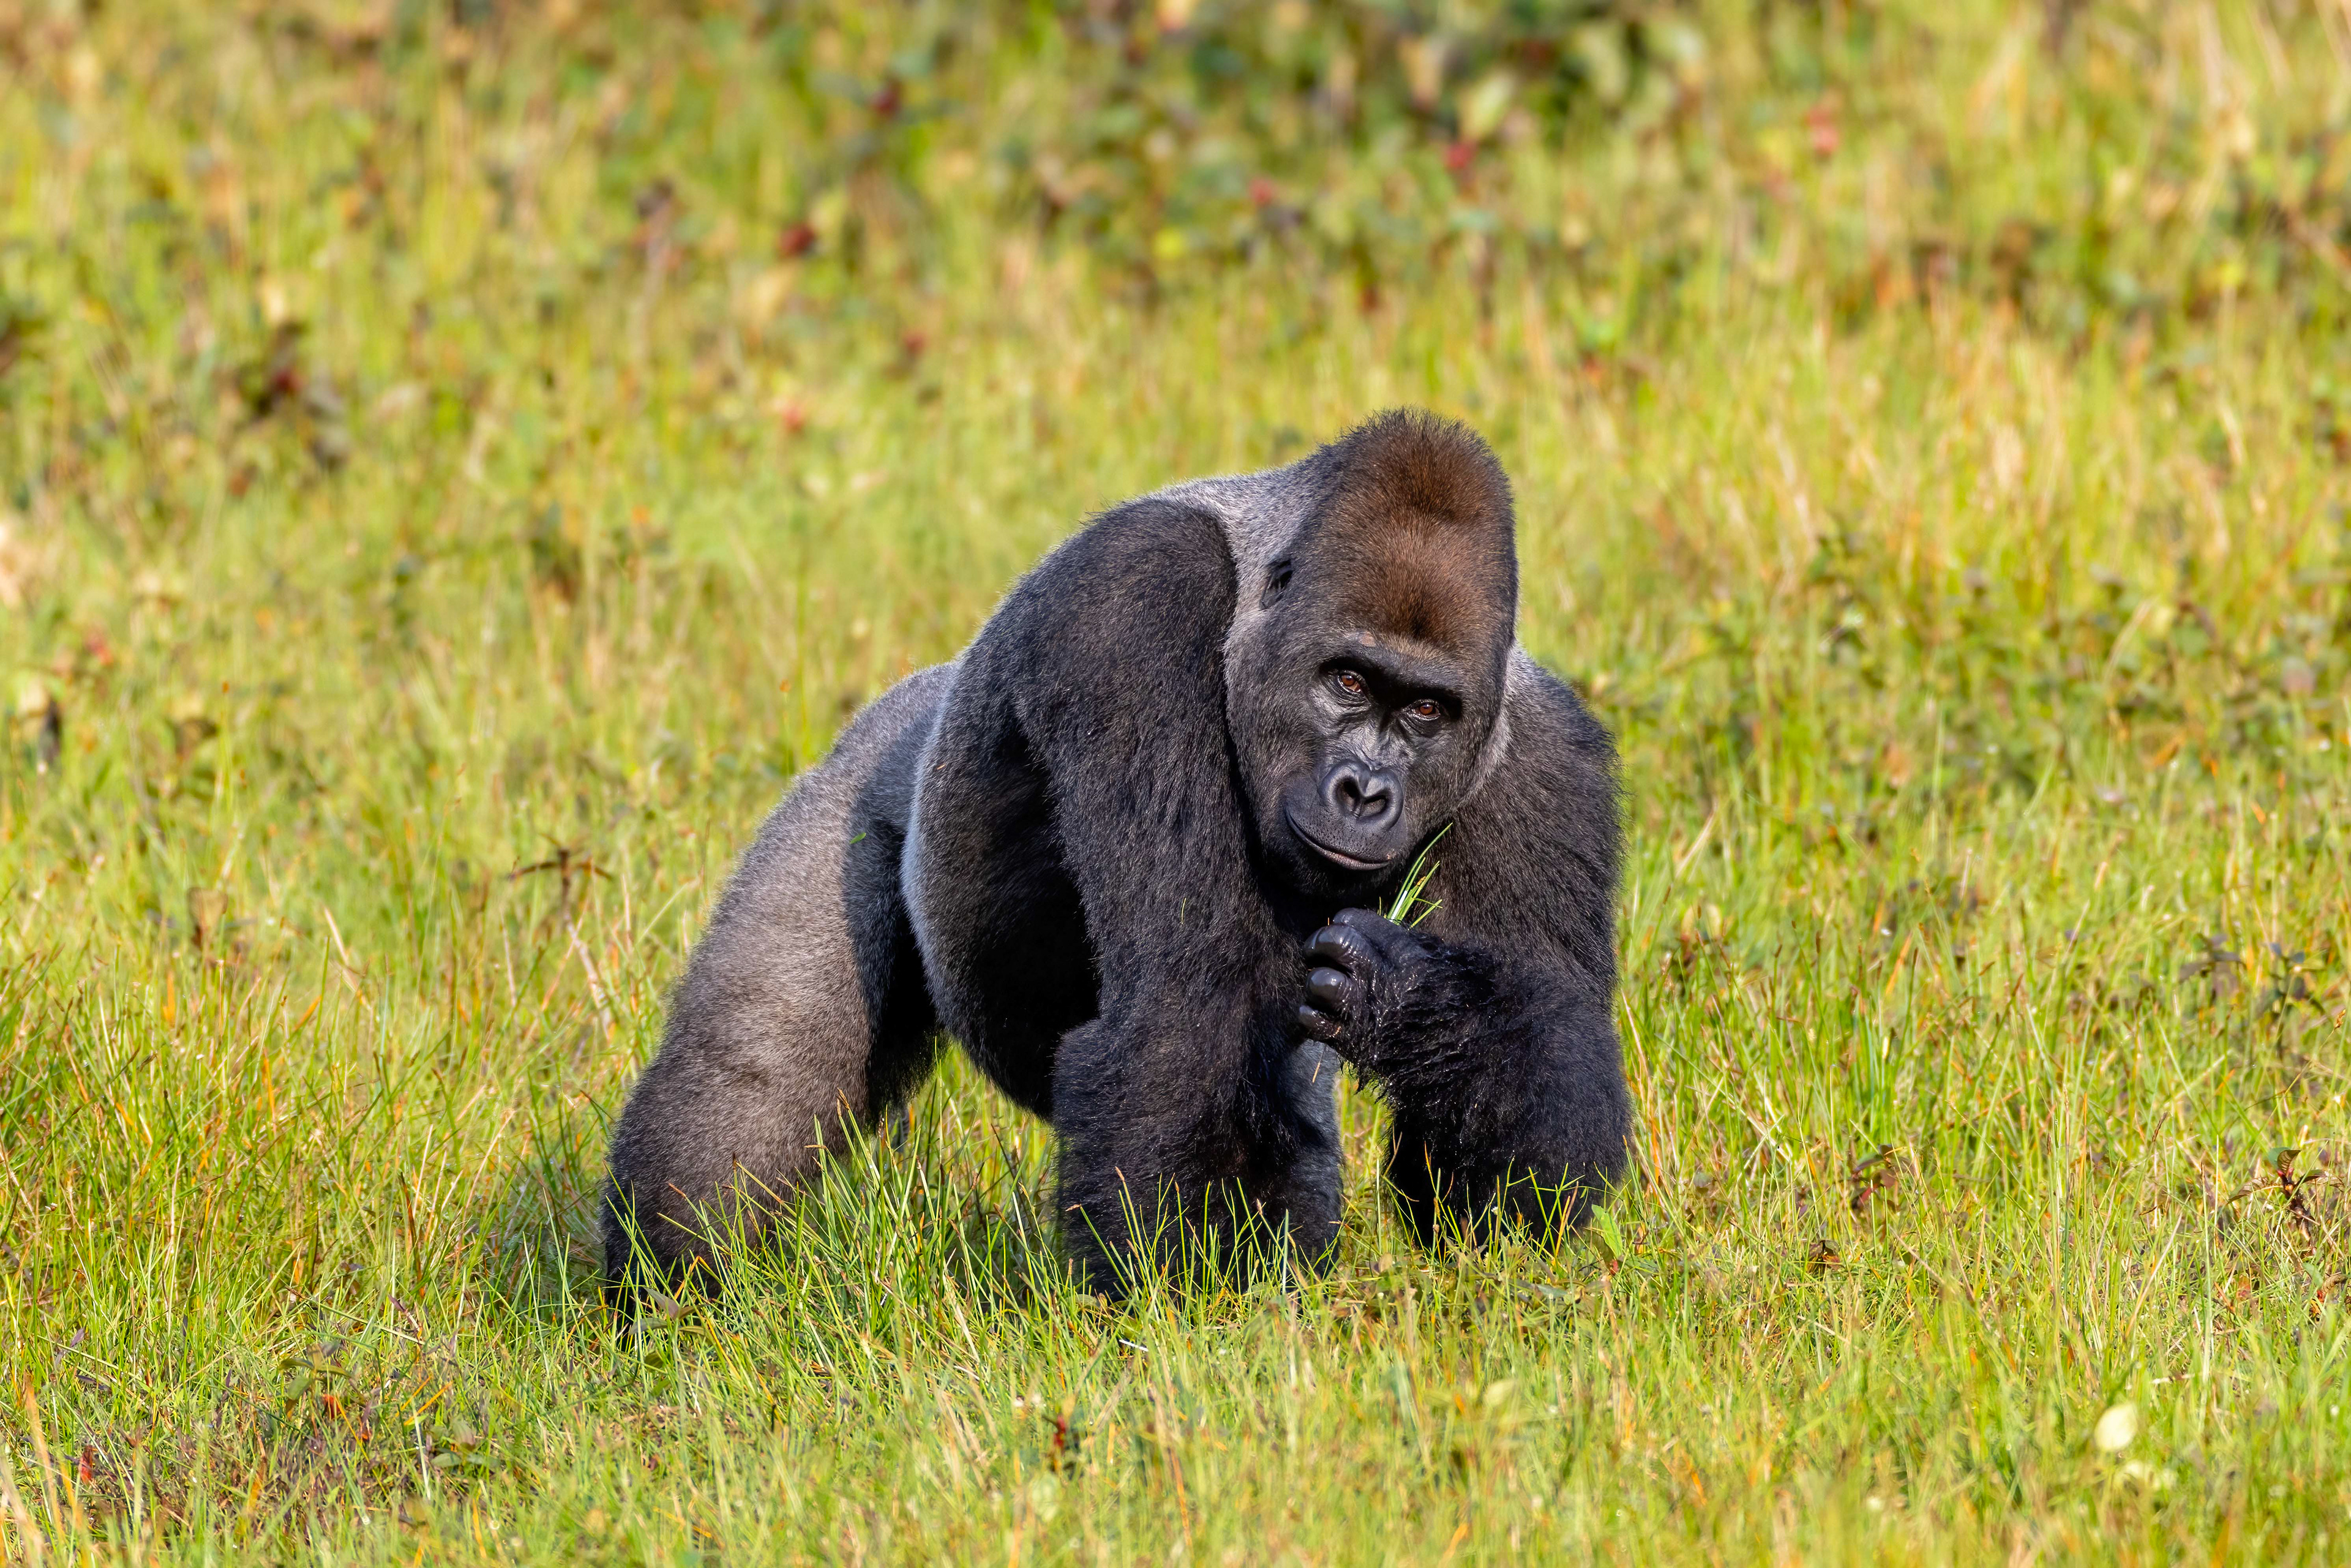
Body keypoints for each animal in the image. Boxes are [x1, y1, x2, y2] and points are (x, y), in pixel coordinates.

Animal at [602, 409, 1629, 1299]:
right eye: (1344, 681)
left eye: (1425, 710)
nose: (1364, 793)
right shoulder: (1135, 600)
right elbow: (1183, 998)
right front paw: (1179, 1310)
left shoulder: (1545, 749)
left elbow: (1535, 1140)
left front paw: (1418, 1007)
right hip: (862, 779)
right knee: (753, 1065)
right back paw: (672, 1291)